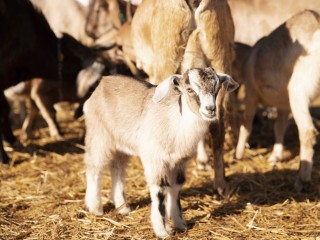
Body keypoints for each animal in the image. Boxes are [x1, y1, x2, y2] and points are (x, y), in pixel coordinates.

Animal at [234, 10, 320, 192]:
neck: (248, 57)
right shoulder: (283, 105)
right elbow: (279, 127)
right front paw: (276, 156)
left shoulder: (251, 94)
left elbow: (246, 124)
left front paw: (238, 154)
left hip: (298, 90)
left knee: (307, 132)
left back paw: (302, 181)